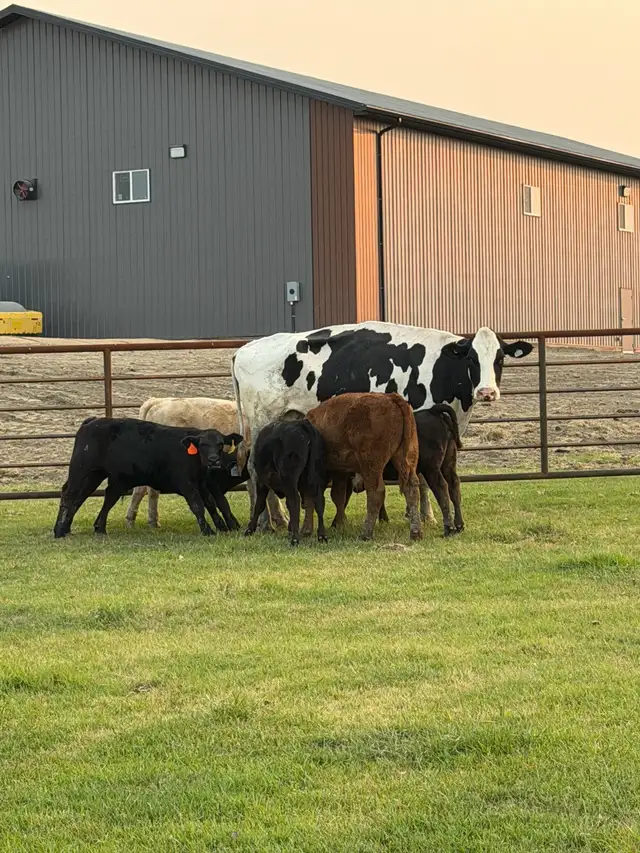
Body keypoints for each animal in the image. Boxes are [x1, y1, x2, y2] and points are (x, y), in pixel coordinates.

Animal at [53, 417, 244, 538]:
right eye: (203, 444)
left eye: (220, 444)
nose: (213, 460)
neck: (193, 456)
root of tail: (92, 421)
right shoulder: (187, 484)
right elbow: (198, 506)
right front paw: (207, 530)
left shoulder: (202, 483)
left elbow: (211, 504)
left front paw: (222, 527)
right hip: (81, 469)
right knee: (69, 494)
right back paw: (59, 531)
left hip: (95, 474)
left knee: (85, 497)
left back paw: (87, 528)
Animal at [303, 392, 422, 541]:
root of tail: (391, 397)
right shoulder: (340, 471)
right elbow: (338, 495)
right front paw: (340, 524)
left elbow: (312, 496)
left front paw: (306, 530)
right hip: (405, 459)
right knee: (411, 488)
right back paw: (416, 532)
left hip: (370, 465)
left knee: (376, 492)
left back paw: (366, 534)